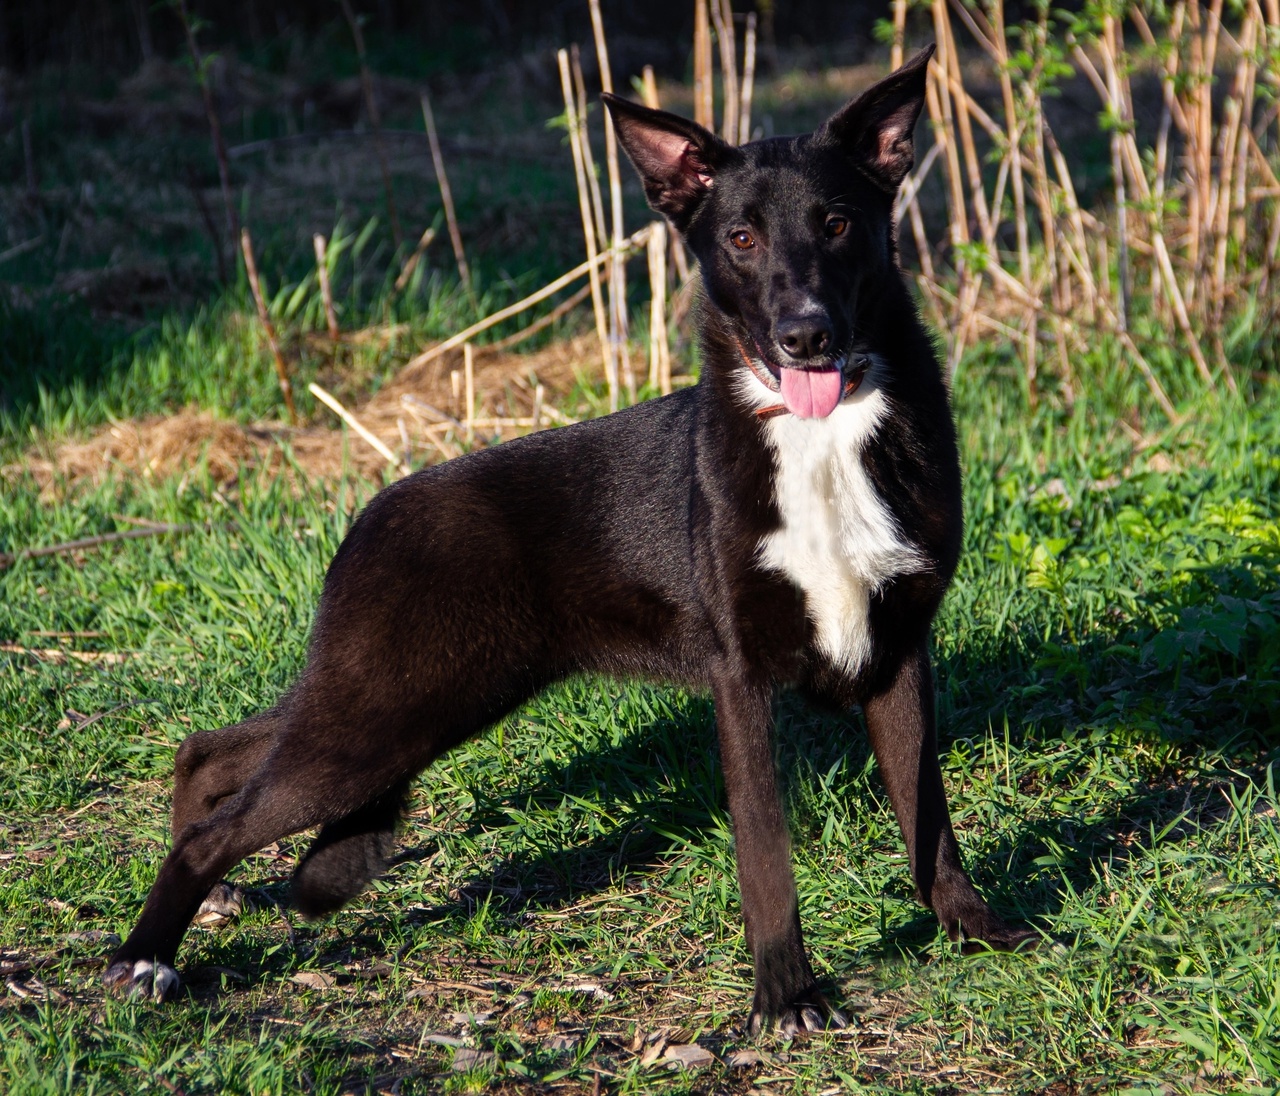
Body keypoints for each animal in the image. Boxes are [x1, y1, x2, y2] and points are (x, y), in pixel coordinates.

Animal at [104, 44, 1034, 1034]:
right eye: (741, 239)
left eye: (838, 223)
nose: (807, 335)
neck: (821, 439)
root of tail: (366, 520)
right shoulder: (740, 682)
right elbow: (766, 857)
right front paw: (786, 996)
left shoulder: (897, 652)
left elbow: (931, 822)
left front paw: (971, 929)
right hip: (393, 710)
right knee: (222, 816)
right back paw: (145, 958)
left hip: (413, 699)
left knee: (212, 751)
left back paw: (203, 904)